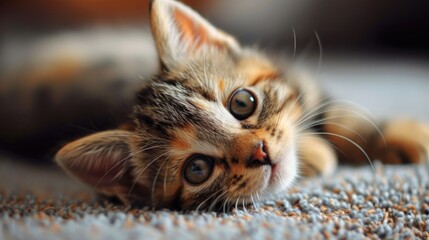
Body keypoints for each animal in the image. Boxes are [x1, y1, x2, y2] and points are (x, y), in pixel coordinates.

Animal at [55, 0, 426, 210]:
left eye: (242, 103)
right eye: (197, 169)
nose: (260, 152)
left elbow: (340, 116)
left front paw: (404, 135)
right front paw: (315, 153)